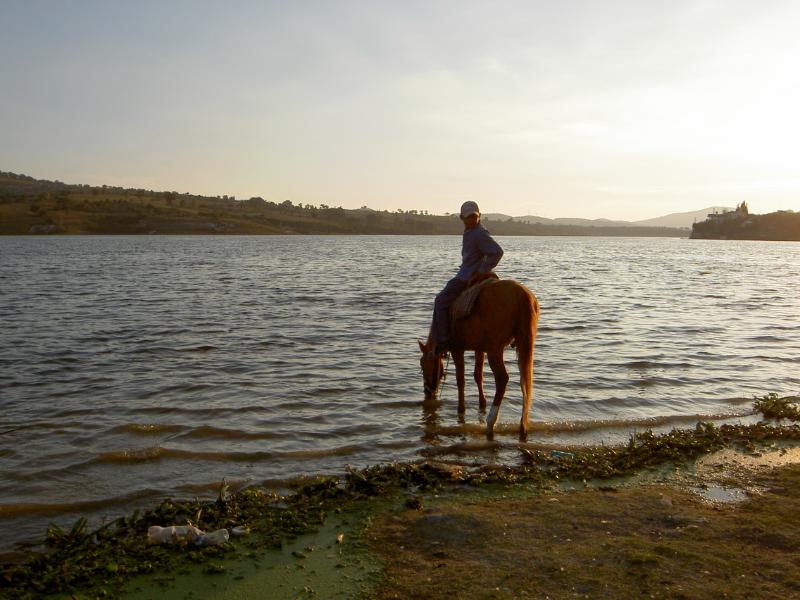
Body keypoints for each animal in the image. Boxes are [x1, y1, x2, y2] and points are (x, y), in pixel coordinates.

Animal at [418, 280, 544, 440]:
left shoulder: (457, 349)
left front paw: (461, 410)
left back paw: (491, 422)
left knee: (502, 379)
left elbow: (460, 380)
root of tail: (522, 295)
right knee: (524, 382)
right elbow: (478, 376)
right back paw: (522, 426)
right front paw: (482, 403)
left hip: (495, 350)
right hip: (523, 345)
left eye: (422, 365)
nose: (427, 392)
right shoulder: (480, 349)